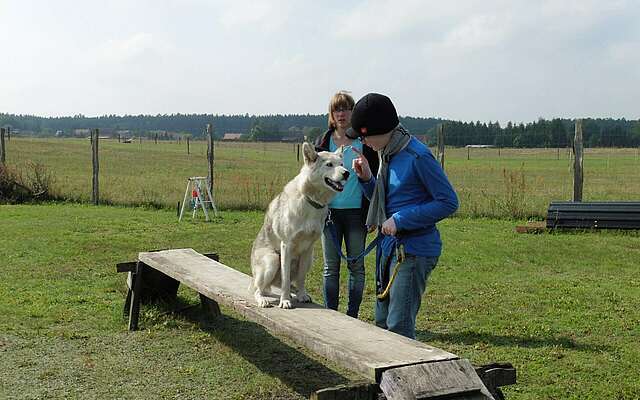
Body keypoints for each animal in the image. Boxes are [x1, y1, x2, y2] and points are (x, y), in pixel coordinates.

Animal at [251, 144, 350, 310]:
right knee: (258, 289)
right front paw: (285, 301)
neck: (312, 202)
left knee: (282, 284)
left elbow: (301, 277)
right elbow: (285, 279)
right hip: (272, 260)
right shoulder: (287, 245)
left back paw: (293, 293)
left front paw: (302, 295)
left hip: (310, 259)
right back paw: (263, 300)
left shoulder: (308, 248)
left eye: (342, 164)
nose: (347, 173)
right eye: (329, 164)